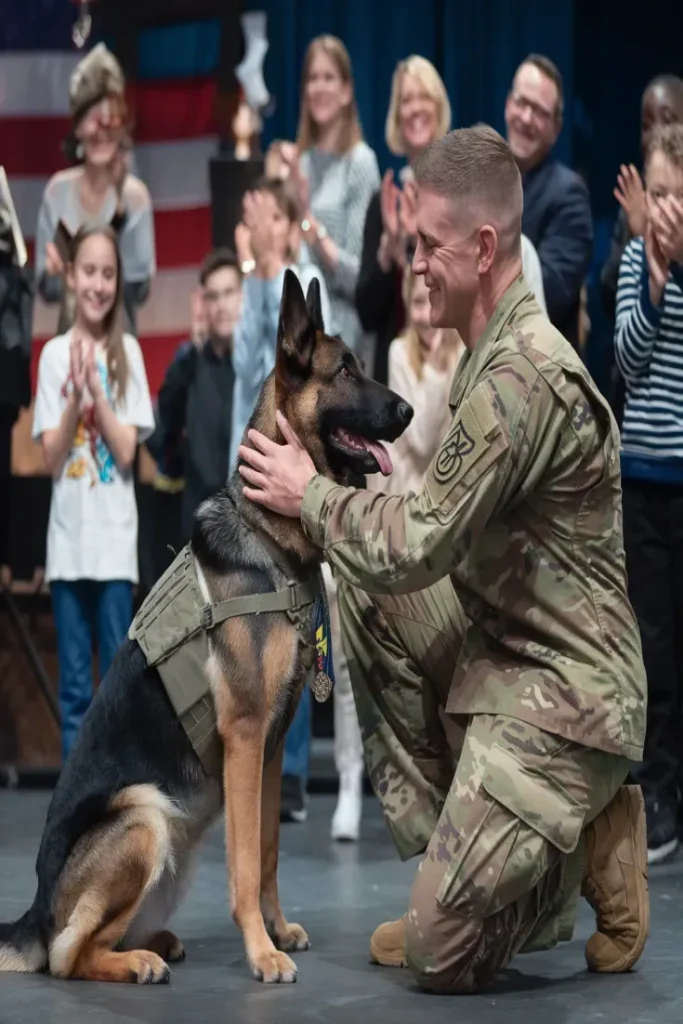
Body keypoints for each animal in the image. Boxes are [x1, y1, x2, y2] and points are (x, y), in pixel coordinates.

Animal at [0, 270, 411, 983]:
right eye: (346, 370)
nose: (409, 412)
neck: (268, 542)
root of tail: (35, 909)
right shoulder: (246, 737)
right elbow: (245, 864)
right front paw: (262, 951)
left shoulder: (270, 748)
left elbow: (268, 854)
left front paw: (276, 930)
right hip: (145, 816)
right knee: (67, 955)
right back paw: (136, 963)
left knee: (94, 937)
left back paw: (154, 943)